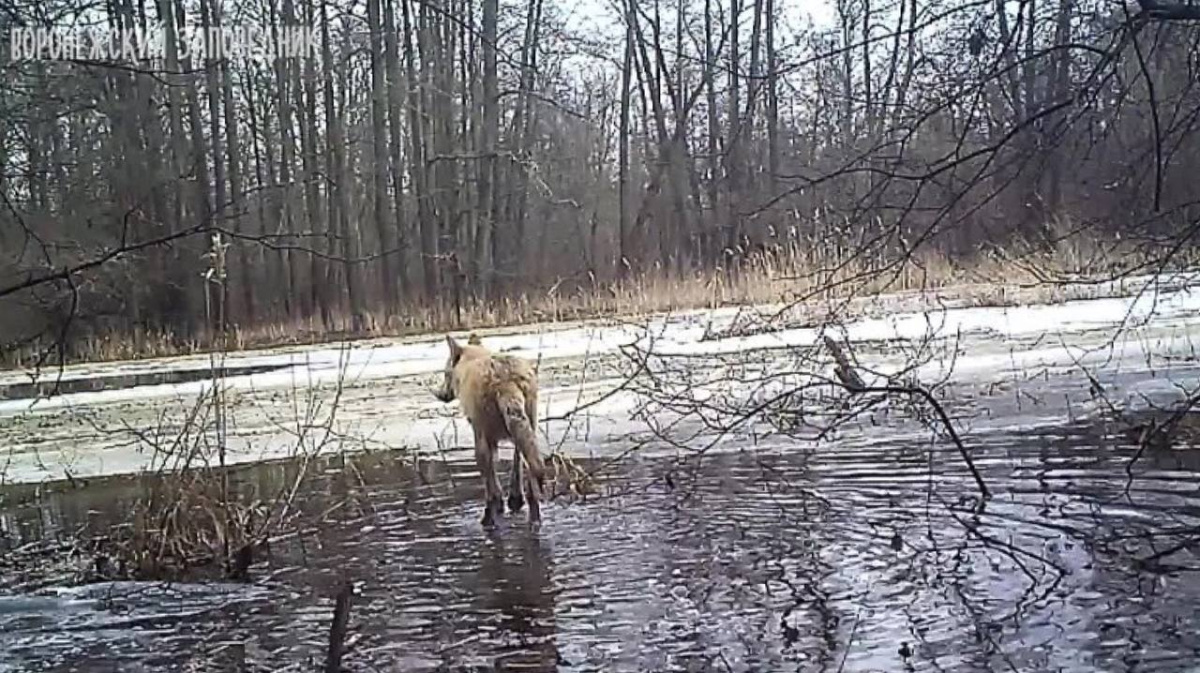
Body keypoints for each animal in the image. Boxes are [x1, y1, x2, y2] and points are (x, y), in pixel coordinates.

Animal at [434, 333, 547, 527]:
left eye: (445, 373)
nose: (441, 395)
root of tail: (506, 381)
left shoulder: (482, 437)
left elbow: (493, 486)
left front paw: (499, 506)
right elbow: (515, 472)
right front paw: (514, 501)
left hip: (483, 440)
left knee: (490, 491)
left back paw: (487, 520)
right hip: (529, 427)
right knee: (533, 488)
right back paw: (534, 520)